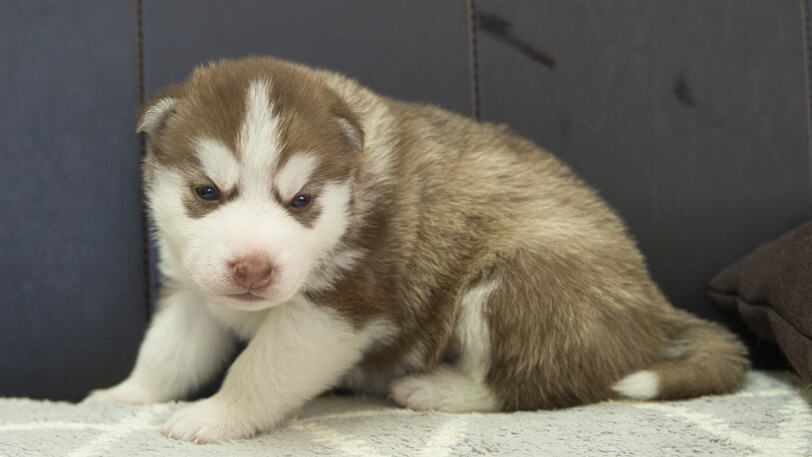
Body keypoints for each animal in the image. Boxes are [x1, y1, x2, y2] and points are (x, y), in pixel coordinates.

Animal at [87, 57, 748, 442]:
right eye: (206, 192)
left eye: (301, 201)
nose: (253, 267)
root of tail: (653, 303)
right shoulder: (190, 292)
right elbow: (166, 354)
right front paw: (122, 396)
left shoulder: (336, 310)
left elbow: (259, 368)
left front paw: (214, 416)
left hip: (519, 279)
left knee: (537, 384)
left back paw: (436, 389)